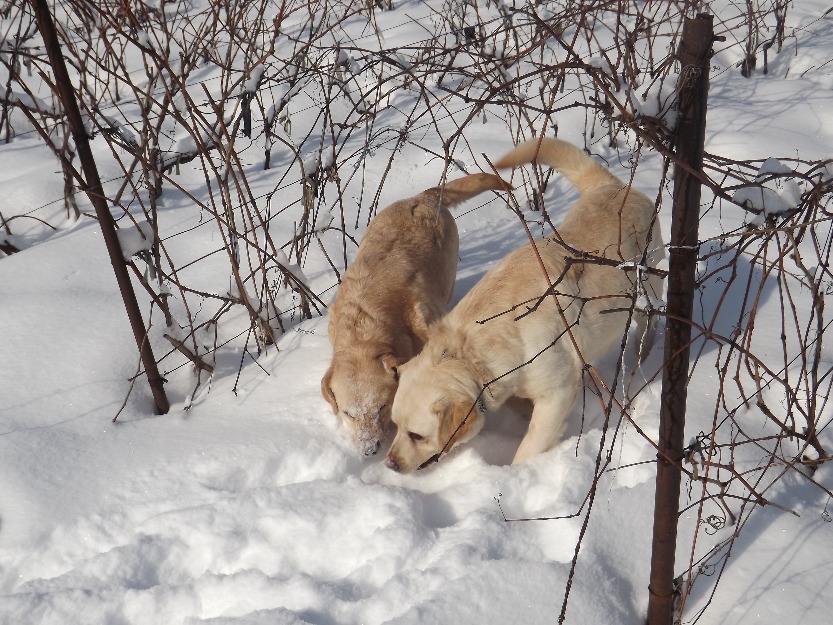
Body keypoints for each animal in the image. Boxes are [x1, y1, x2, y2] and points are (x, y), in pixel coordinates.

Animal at [386, 135, 668, 468]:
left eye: (416, 435)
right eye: (395, 426)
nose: (390, 463)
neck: (472, 350)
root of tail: (615, 186)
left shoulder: (556, 394)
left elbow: (529, 448)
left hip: (645, 291)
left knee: (649, 321)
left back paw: (643, 353)